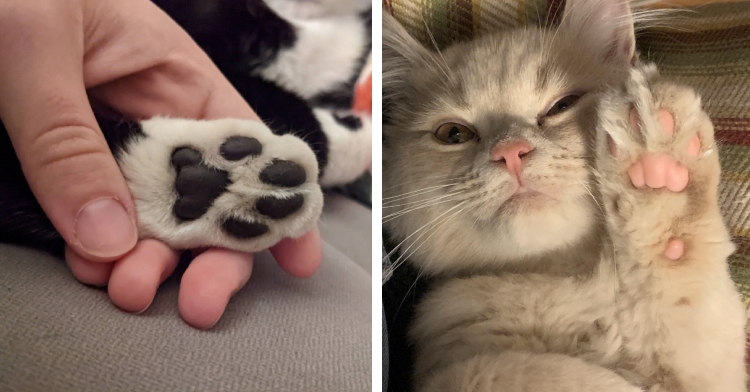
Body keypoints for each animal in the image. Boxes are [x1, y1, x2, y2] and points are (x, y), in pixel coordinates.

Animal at [384, 1, 748, 390]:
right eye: (453, 134)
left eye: (561, 106)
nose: (510, 151)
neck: (562, 286)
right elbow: (520, 369)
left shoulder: (708, 367)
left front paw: (661, 169)